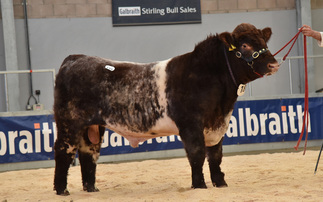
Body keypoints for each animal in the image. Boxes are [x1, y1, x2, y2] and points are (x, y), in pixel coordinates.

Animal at [53, 22, 280, 195]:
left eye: (263, 42)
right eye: (245, 44)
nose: (274, 65)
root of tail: (74, 59)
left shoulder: (217, 126)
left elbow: (215, 156)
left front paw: (220, 184)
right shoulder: (190, 125)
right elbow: (197, 154)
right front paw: (199, 186)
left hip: (92, 126)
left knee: (88, 154)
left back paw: (91, 189)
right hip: (69, 122)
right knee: (64, 151)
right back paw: (61, 190)